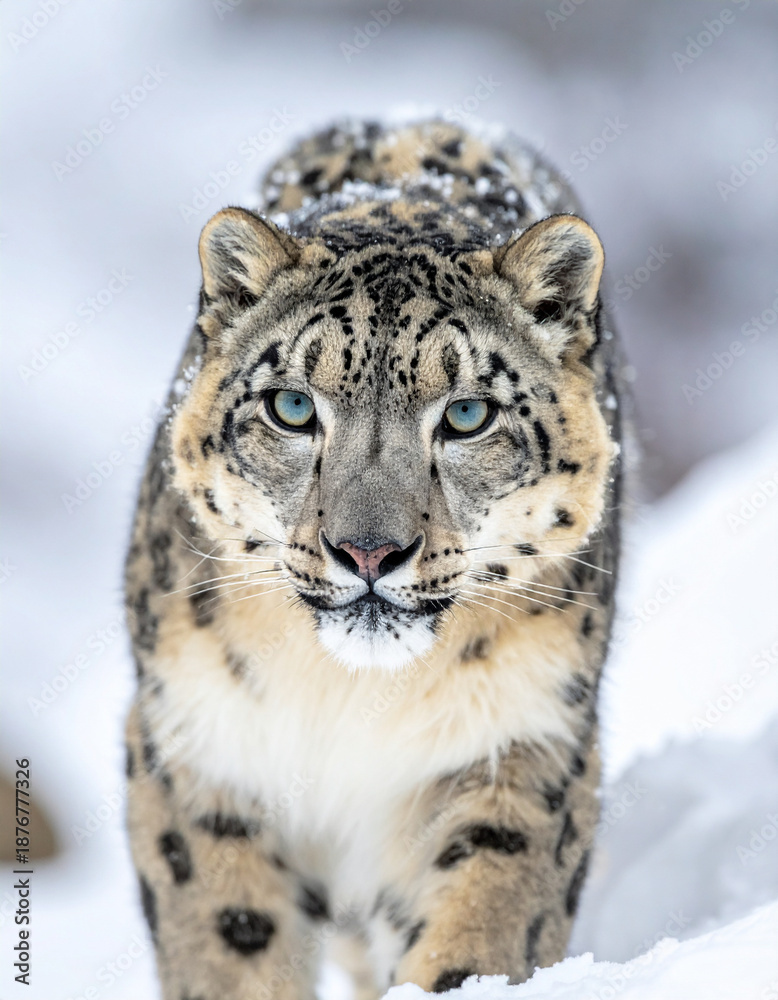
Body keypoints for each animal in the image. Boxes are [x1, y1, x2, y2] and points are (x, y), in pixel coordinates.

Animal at [124, 117, 624, 1000]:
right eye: (293, 406)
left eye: (467, 414)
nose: (369, 550)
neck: (347, 695)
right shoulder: (197, 750)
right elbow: (231, 942)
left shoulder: (523, 747)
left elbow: (479, 929)